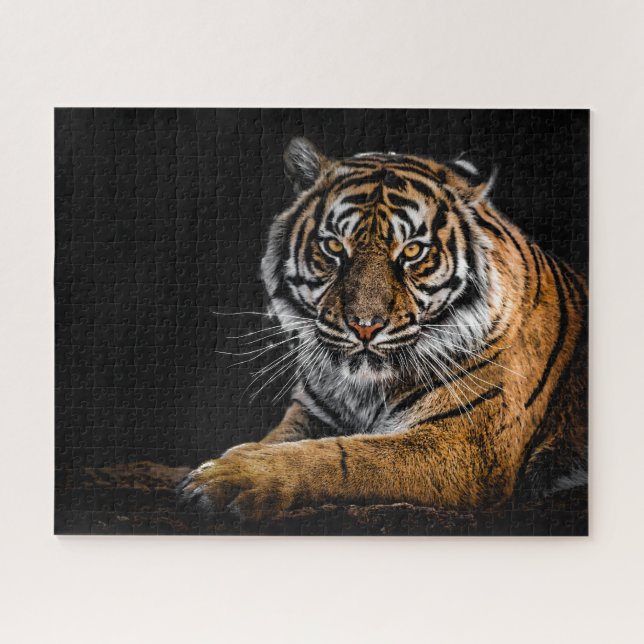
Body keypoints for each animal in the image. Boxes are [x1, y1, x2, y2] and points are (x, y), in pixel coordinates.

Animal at [178, 137, 588, 521]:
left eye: (412, 251)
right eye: (333, 247)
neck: (364, 391)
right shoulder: (312, 413)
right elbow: (281, 439)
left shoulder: (468, 445)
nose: (365, 326)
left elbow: (346, 456)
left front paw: (229, 477)